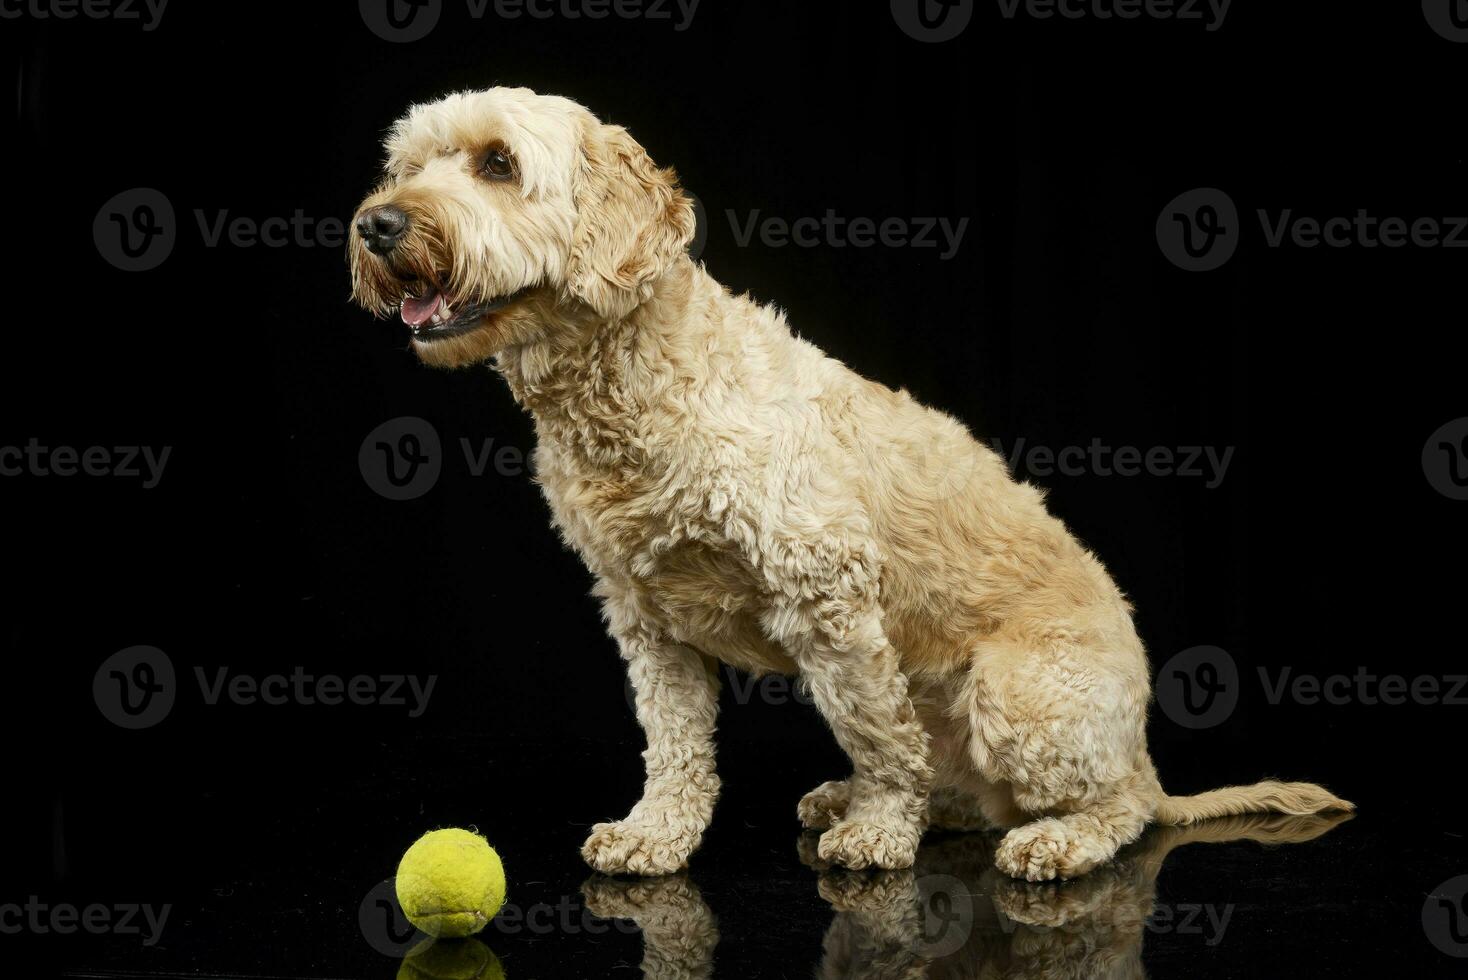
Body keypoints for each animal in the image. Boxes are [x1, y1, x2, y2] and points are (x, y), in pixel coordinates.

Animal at [346, 84, 1350, 880]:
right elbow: (675, 745)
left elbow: (877, 732)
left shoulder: (827, 594)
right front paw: (656, 835)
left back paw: (1054, 840)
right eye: (408, 164)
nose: (376, 224)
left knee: (1117, 809)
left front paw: (878, 833)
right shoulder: (645, 616)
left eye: (498, 163)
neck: (641, 386)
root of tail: (1143, 751)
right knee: (967, 789)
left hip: (1019, 694)